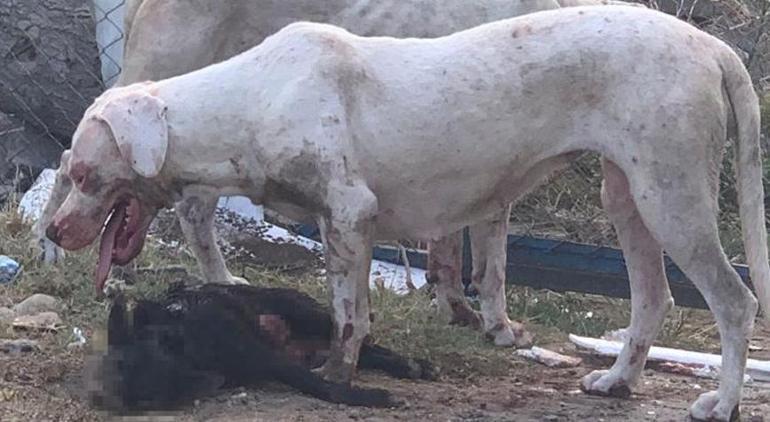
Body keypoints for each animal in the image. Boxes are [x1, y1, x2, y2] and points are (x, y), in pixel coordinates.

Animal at [46, 6, 760, 418]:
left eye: (84, 174)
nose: (53, 229)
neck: (252, 98)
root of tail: (713, 48)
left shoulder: (347, 215)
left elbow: (346, 317)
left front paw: (338, 376)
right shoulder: (343, 228)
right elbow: (355, 310)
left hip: (672, 196)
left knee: (735, 302)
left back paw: (721, 402)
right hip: (629, 197)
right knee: (653, 297)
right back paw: (616, 381)